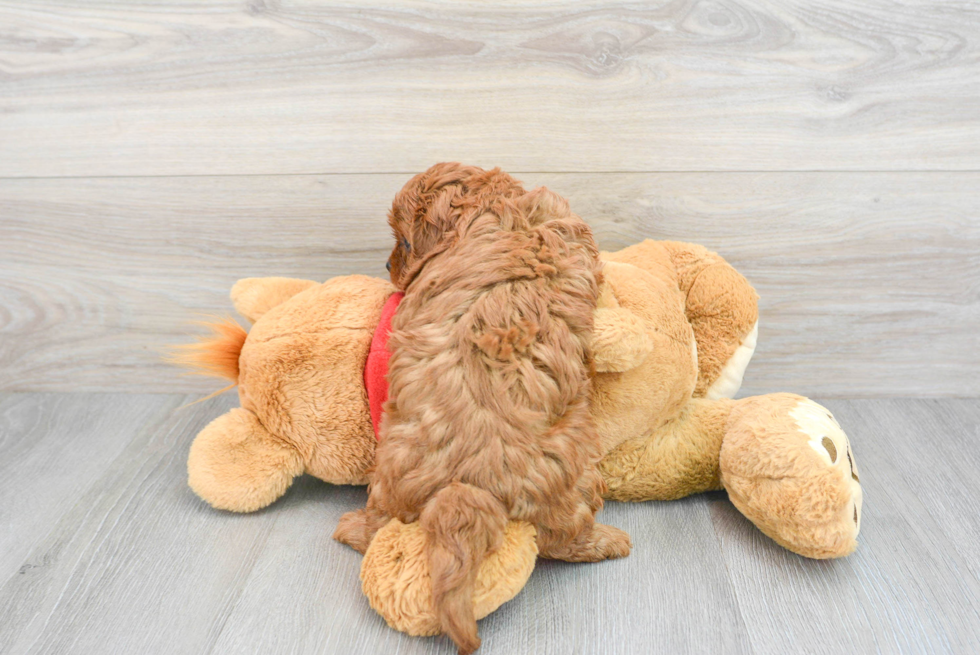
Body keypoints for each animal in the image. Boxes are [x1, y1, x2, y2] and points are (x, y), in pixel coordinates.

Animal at [334, 164, 632, 655]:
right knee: (566, 540)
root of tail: (472, 483)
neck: (495, 208)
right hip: (580, 468)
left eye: (405, 243)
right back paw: (609, 541)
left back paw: (352, 528)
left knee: (381, 522)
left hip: (393, 470)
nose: (387, 267)